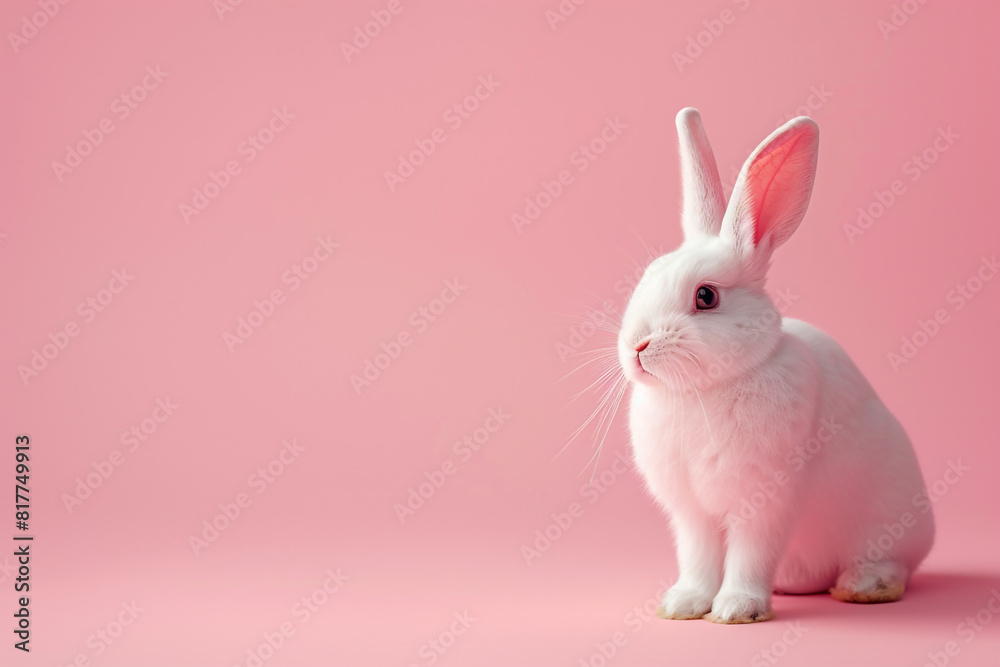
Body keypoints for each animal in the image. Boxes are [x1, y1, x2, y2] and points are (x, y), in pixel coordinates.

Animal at [616, 108, 934, 623]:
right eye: (646, 277)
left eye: (706, 297)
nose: (636, 347)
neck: (704, 391)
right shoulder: (693, 514)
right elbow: (698, 558)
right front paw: (684, 604)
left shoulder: (764, 503)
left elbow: (750, 555)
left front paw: (736, 610)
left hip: (889, 521)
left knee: (893, 562)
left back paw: (864, 586)